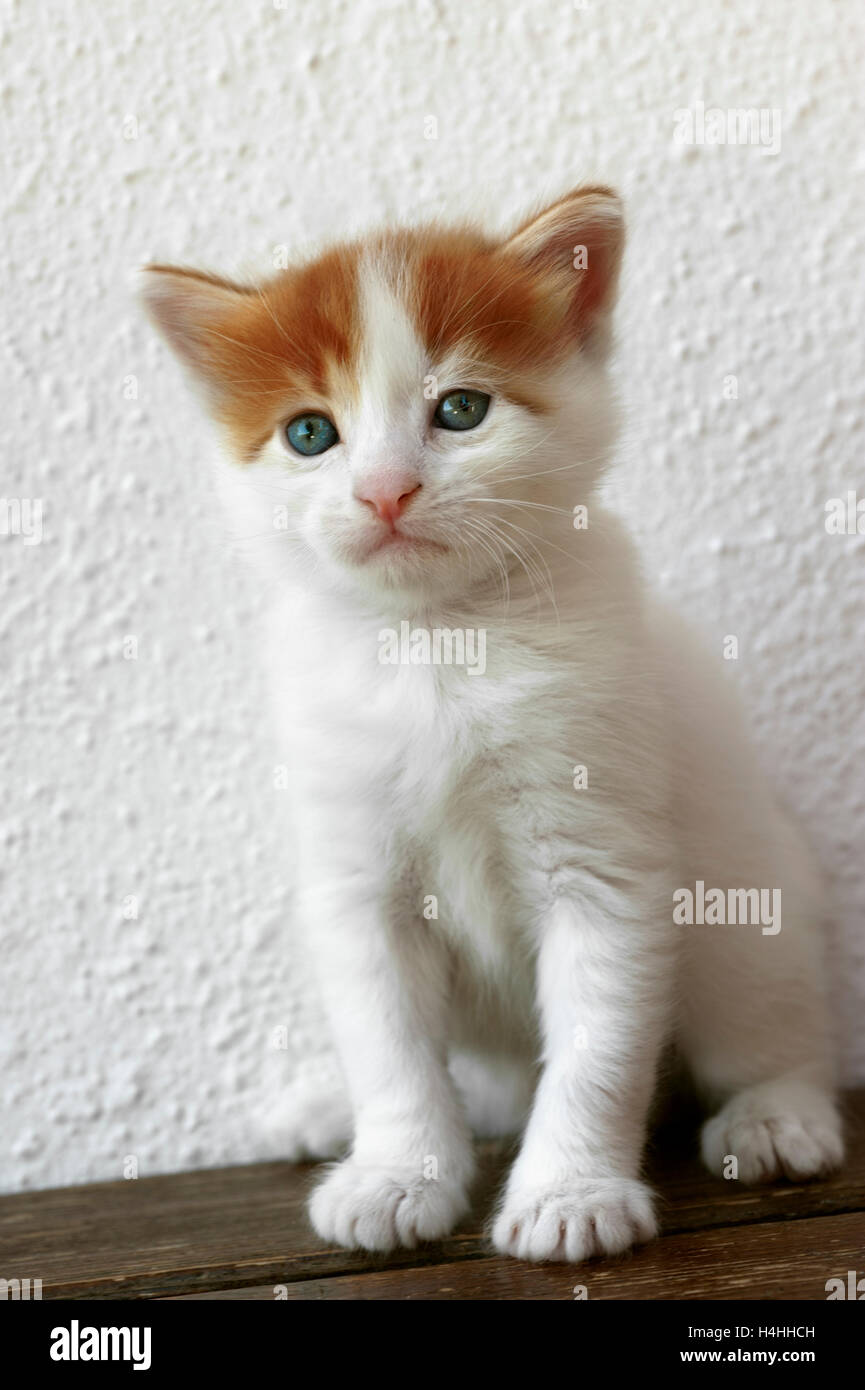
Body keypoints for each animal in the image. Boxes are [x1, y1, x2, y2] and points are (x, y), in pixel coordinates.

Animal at [143, 187, 845, 1273]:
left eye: (460, 409)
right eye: (309, 433)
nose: (384, 489)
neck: (440, 643)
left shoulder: (605, 860)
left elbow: (597, 1047)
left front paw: (570, 1194)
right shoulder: (355, 880)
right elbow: (390, 1049)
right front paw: (397, 1174)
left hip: (751, 908)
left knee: (770, 1033)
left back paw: (774, 1116)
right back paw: (328, 1110)